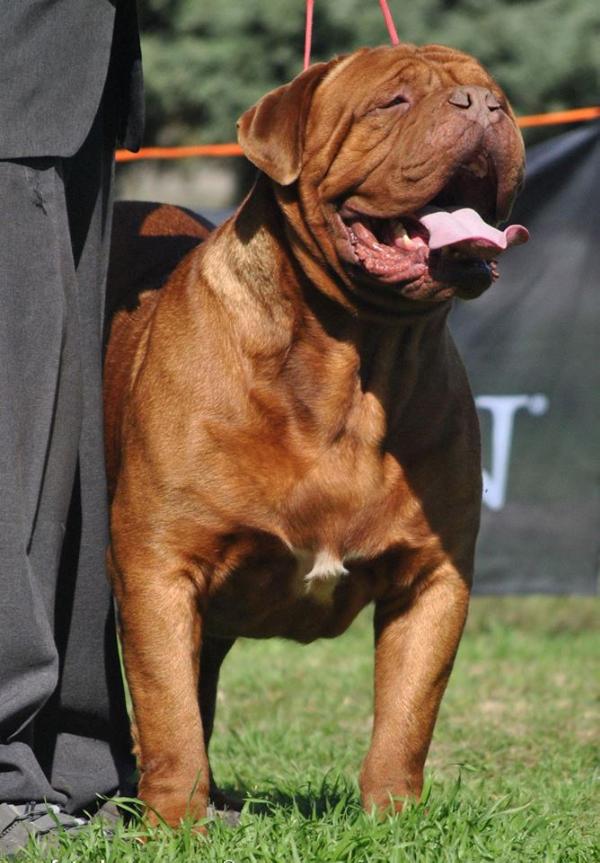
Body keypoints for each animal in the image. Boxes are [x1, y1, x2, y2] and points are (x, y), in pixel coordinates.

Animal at [103, 44, 524, 828]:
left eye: (500, 99)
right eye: (392, 102)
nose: (482, 108)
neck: (356, 359)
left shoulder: (434, 576)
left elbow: (407, 714)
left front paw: (395, 820)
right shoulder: (158, 566)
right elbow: (166, 709)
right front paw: (175, 826)